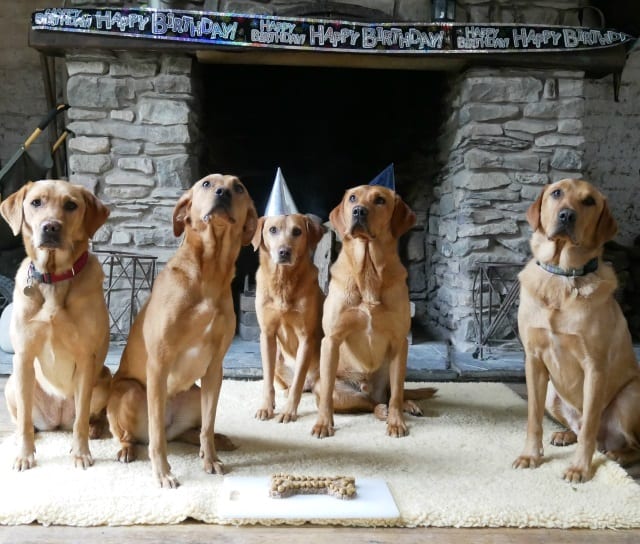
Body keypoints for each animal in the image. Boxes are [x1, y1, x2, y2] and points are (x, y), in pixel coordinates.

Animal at [0, 181, 110, 470]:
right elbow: (25, 420)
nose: (50, 226)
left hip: (103, 379)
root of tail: (57, 420)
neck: (53, 278)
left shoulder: (85, 359)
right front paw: (24, 455)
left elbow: (81, 419)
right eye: (36, 202)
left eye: (71, 205)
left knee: (88, 417)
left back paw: (94, 430)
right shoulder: (23, 357)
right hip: (13, 384)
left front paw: (81, 453)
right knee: (24, 421)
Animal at [107, 174, 258, 488]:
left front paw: (210, 458)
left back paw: (217, 441)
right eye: (207, 183)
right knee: (137, 435)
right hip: (131, 392)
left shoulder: (214, 369)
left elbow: (208, 425)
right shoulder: (159, 364)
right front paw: (163, 473)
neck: (209, 273)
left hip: (194, 394)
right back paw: (127, 449)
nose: (223, 193)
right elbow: (157, 439)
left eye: (238, 187)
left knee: (190, 432)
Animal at [251, 215, 324, 422]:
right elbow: (267, 380)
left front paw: (289, 411)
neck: (282, 282)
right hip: (277, 358)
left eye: (297, 231)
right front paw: (266, 407)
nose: (284, 251)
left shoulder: (306, 338)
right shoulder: (267, 335)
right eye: (272, 230)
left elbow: (298, 381)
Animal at [312, 185, 436, 440]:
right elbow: (327, 394)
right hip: (336, 388)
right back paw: (381, 410)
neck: (368, 270)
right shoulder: (331, 340)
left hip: (393, 369)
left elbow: (397, 393)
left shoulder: (400, 341)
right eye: (352, 198)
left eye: (380, 200)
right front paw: (323, 423)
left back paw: (406, 406)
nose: (359, 211)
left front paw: (397, 423)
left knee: (392, 394)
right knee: (368, 404)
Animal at [516, 178, 640, 480]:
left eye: (589, 201)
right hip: (552, 393)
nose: (566, 215)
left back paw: (619, 453)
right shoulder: (533, 360)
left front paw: (579, 468)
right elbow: (533, 418)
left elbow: (589, 428)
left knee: (623, 441)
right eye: (556, 193)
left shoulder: (594, 367)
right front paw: (530, 455)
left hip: (630, 398)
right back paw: (564, 434)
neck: (562, 275)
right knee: (578, 426)